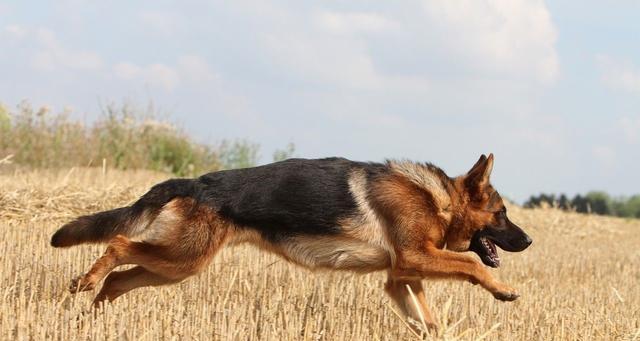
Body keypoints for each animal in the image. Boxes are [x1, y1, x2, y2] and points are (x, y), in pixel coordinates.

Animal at [51, 153, 528, 326]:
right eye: (503, 214)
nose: (528, 242)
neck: (438, 200)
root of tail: (194, 182)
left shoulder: (401, 277)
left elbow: (428, 322)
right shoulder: (414, 257)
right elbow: (470, 264)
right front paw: (502, 289)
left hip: (174, 266)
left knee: (120, 278)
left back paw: (93, 316)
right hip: (181, 258)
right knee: (117, 244)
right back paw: (84, 284)